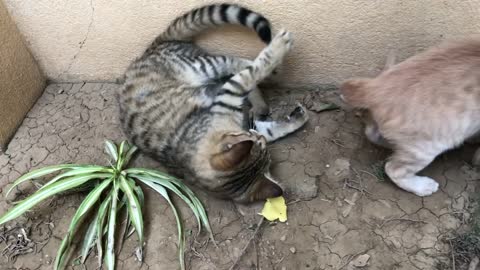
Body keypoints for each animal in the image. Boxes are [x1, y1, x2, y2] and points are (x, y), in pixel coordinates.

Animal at [118, 3, 310, 202]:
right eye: (262, 148)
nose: (258, 137)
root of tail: (151, 48)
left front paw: (298, 118)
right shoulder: (228, 97)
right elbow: (249, 79)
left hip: (203, 65)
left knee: (238, 62)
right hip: (201, 65)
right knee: (241, 65)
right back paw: (275, 59)